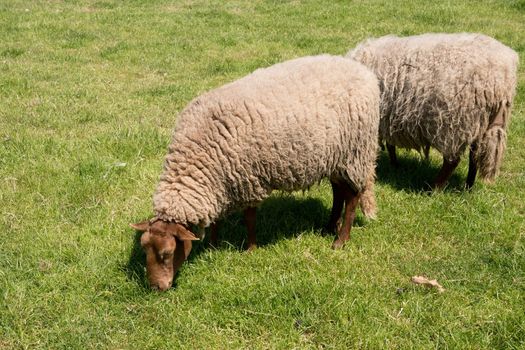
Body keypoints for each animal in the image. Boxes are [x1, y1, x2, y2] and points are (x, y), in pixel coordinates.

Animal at [129, 54, 378, 290]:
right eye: (144, 250)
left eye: (167, 254)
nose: (156, 288)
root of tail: (363, 72)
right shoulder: (219, 182)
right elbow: (216, 221)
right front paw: (212, 246)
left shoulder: (247, 179)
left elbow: (249, 218)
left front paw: (250, 249)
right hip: (335, 158)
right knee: (338, 192)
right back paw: (329, 227)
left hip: (354, 154)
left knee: (352, 197)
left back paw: (340, 240)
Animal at [346, 33, 516, 189]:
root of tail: (502, 77)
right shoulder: (388, 118)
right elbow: (390, 144)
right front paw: (395, 165)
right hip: (479, 123)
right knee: (474, 156)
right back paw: (468, 185)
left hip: (454, 124)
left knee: (452, 161)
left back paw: (434, 188)